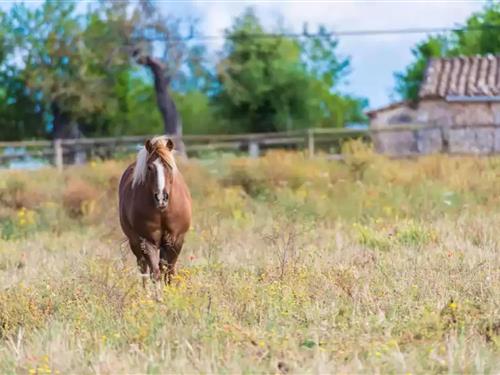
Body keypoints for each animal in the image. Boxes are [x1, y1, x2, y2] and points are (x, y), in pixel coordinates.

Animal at [118, 137, 192, 286]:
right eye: (149, 167)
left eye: (169, 166)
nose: (161, 198)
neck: (162, 211)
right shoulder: (147, 241)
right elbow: (155, 273)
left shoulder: (176, 240)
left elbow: (169, 272)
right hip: (135, 242)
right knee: (143, 268)